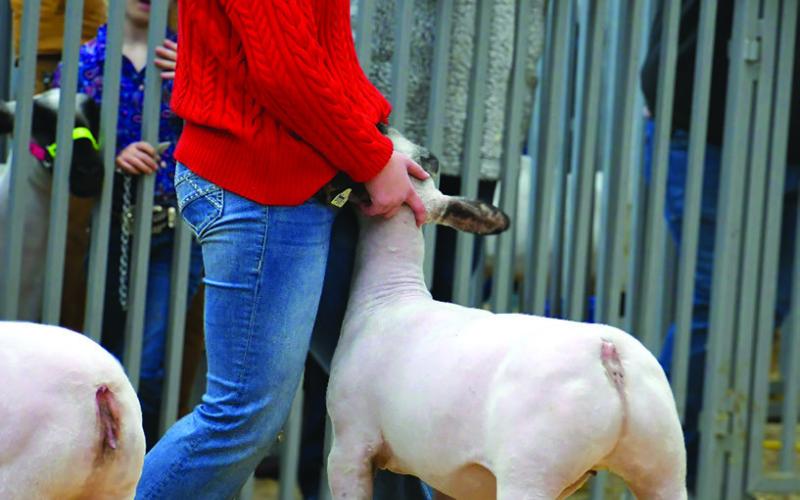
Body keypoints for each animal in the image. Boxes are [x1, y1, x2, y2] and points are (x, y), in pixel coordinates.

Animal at [325, 129, 687, 500]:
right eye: (429, 160)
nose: (385, 128)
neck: (392, 292)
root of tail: (608, 354)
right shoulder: (444, 476)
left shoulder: (350, 443)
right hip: (663, 464)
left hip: (531, 468)